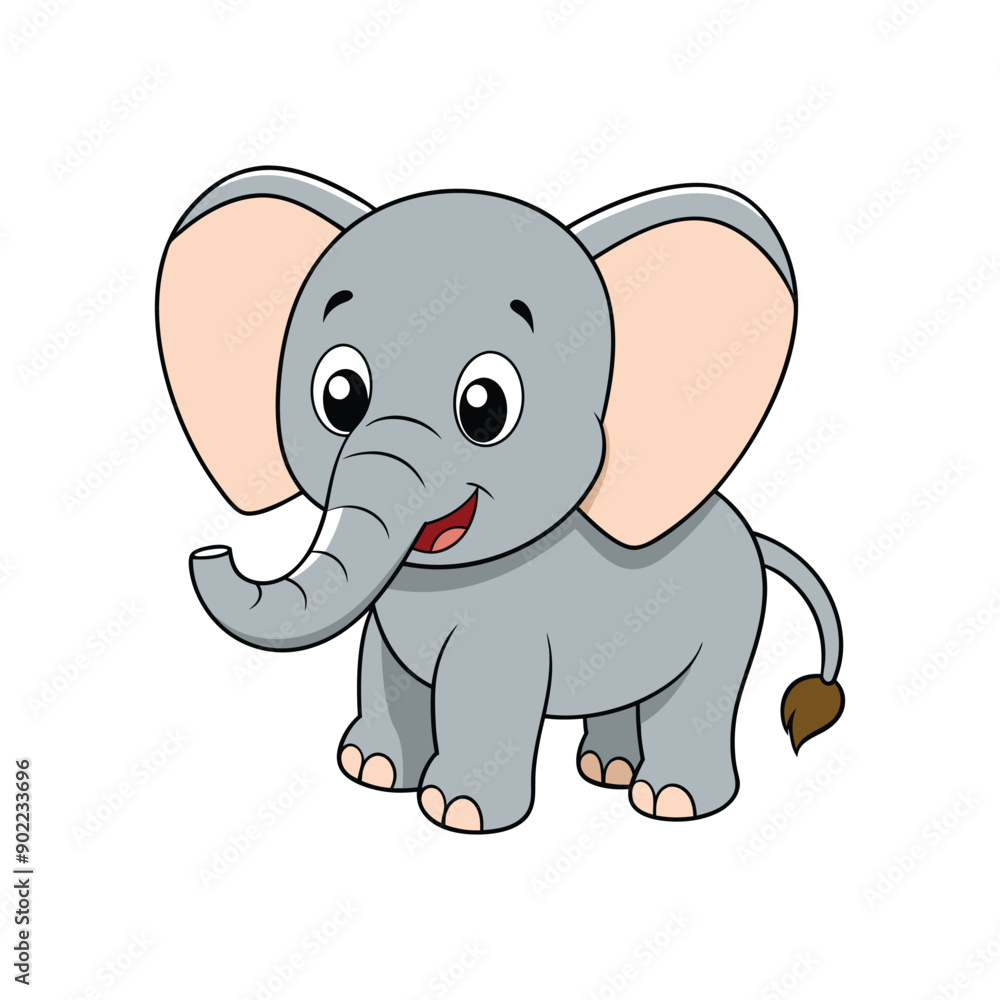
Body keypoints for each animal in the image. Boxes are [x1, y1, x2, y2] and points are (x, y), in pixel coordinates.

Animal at [156, 166, 845, 833]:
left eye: (485, 408)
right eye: (340, 396)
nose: (211, 552)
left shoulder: (509, 627)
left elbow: (481, 690)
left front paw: (457, 812)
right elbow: (383, 666)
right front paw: (372, 770)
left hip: (732, 615)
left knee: (700, 696)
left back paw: (670, 801)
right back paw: (607, 770)